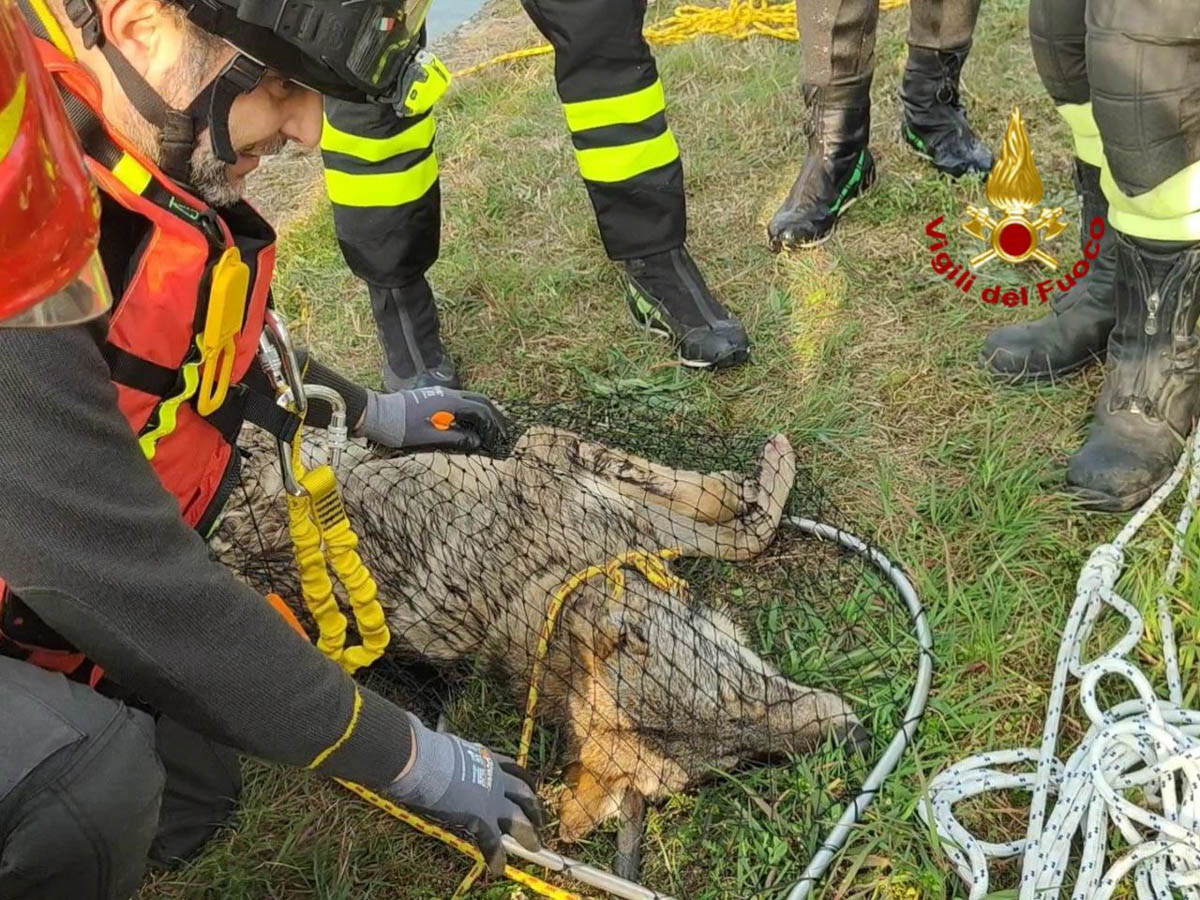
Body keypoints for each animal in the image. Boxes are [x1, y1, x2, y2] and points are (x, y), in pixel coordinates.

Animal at [214, 425, 864, 841]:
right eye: (735, 754)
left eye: (740, 691)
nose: (858, 738)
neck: (552, 583)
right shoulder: (558, 462)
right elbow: (739, 525)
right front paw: (756, 481)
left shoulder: (556, 460)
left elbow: (723, 517)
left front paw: (748, 484)